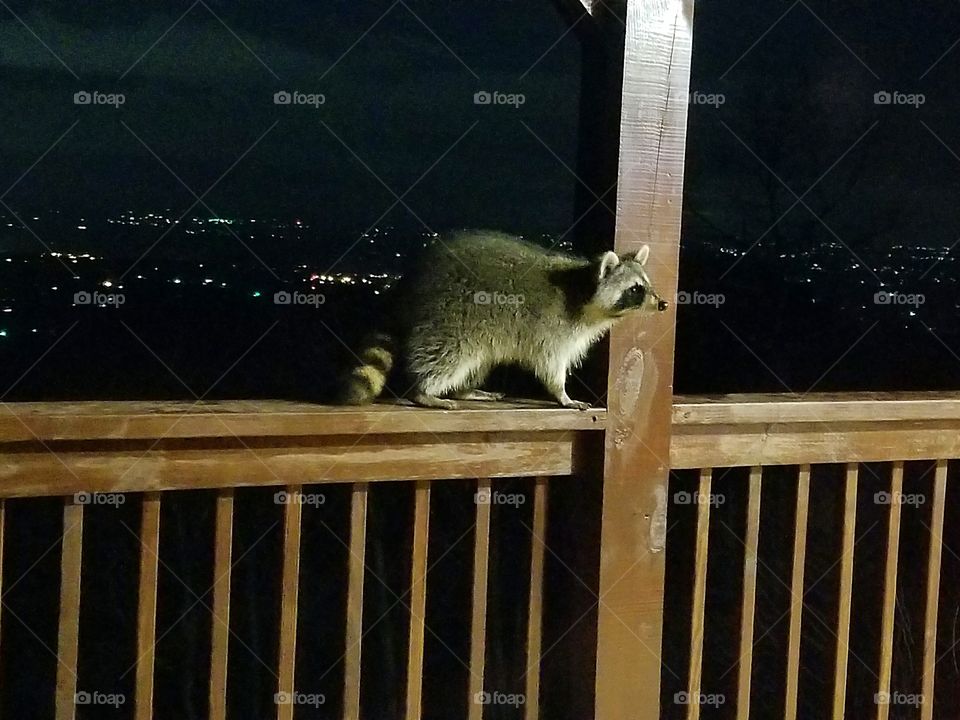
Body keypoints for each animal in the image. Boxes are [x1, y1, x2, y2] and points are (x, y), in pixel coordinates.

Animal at [340, 230, 667, 410]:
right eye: (635, 290)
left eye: (647, 286)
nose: (662, 303)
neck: (583, 289)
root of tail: (409, 281)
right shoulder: (553, 329)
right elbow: (550, 365)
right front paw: (561, 394)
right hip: (449, 318)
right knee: (447, 357)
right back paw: (424, 391)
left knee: (477, 362)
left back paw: (466, 390)